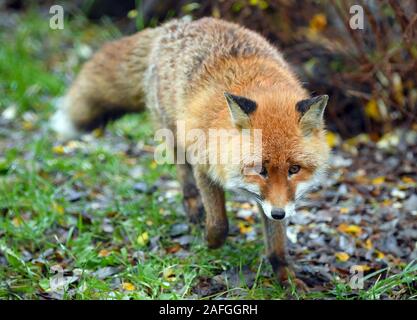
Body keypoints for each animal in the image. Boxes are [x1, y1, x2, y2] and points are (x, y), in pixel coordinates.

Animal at [52, 17, 330, 288]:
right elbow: (219, 223)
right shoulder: (204, 167)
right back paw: (193, 207)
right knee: (183, 175)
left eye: (294, 169)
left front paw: (286, 278)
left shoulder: (273, 200)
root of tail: (172, 25)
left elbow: (277, 244)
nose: (279, 213)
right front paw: (210, 242)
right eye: (260, 170)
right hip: (173, 134)